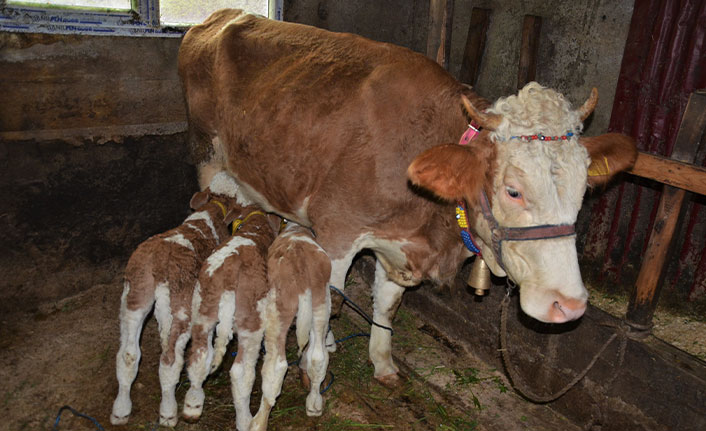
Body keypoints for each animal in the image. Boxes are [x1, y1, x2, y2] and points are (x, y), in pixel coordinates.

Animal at [108, 172, 243, 428]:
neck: (212, 210)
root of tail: (159, 261)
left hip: (134, 298)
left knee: (127, 355)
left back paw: (121, 410)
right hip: (181, 306)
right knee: (170, 360)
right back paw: (169, 412)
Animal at [177, 8, 640, 384]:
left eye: (582, 191)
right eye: (513, 190)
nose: (569, 305)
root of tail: (220, 16)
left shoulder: (400, 247)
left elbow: (386, 306)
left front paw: (382, 363)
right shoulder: (338, 231)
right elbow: (330, 301)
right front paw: (316, 361)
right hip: (205, 153)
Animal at [249, 223, 332, 431]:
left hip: (277, 312)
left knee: (275, 367)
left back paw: (258, 422)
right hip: (321, 304)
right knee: (318, 357)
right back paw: (314, 404)